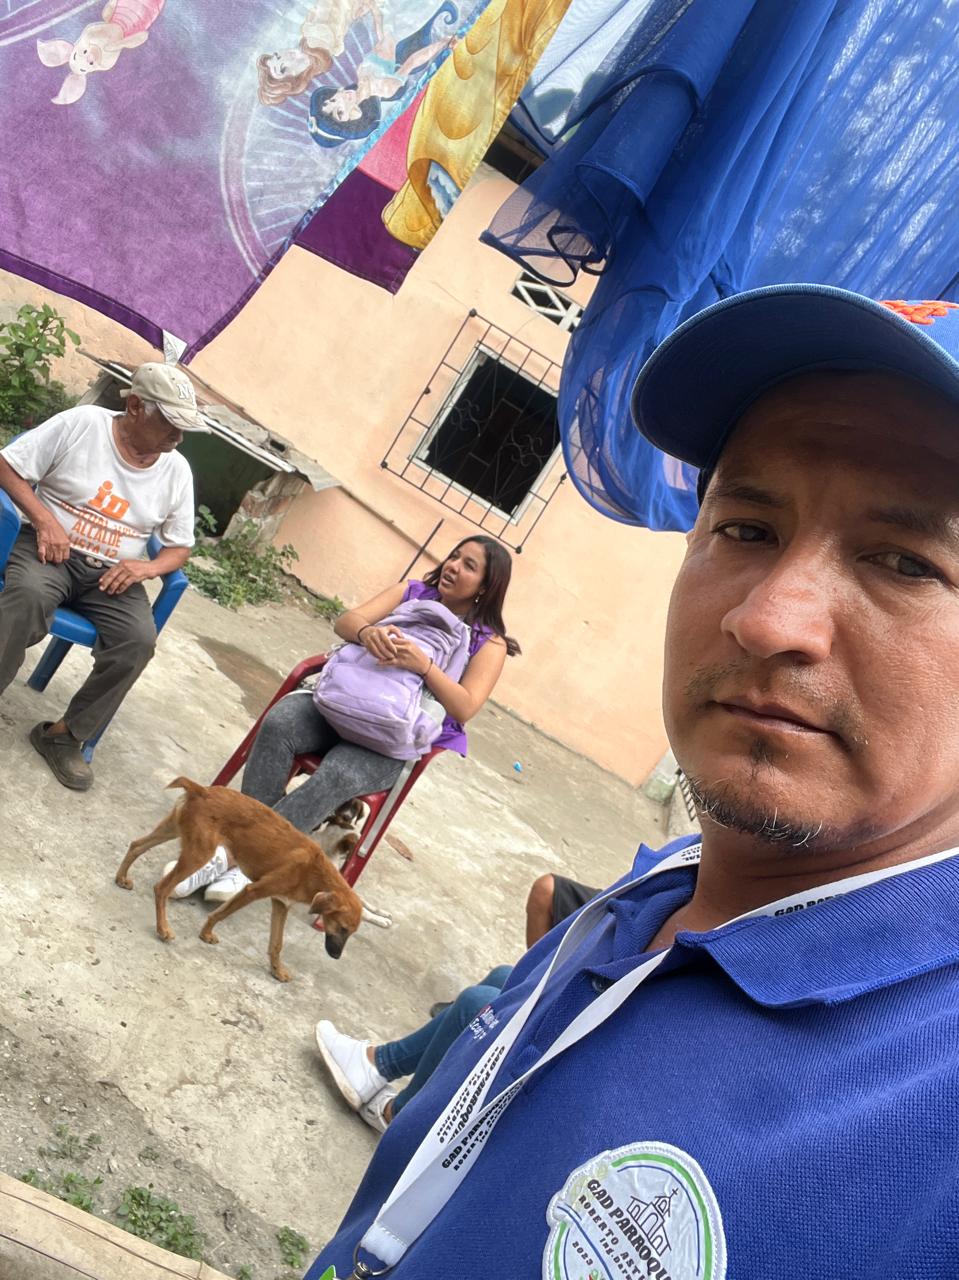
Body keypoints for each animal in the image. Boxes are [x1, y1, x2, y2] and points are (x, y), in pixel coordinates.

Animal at [115, 777, 363, 982]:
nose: (336, 956)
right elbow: (220, 914)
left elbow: (277, 943)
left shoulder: (280, 904)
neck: (316, 872)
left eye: (350, 933)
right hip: (199, 853)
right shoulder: (253, 891)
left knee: (136, 846)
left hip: (173, 829)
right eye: (342, 928)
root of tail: (202, 790)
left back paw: (121, 879)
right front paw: (206, 934)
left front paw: (277, 970)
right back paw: (163, 929)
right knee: (162, 887)